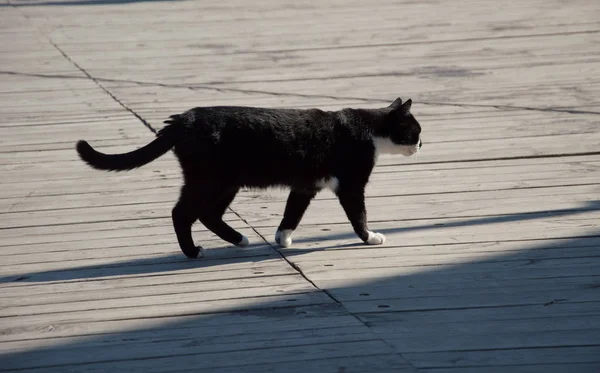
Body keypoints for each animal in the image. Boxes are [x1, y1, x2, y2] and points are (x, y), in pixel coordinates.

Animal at [76, 97, 422, 258]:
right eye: (416, 131)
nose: (422, 144)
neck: (368, 129)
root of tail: (184, 118)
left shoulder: (304, 186)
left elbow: (291, 214)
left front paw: (283, 239)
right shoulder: (351, 185)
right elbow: (359, 216)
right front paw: (371, 237)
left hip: (224, 182)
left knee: (206, 214)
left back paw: (238, 239)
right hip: (210, 180)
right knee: (182, 213)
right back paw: (194, 251)